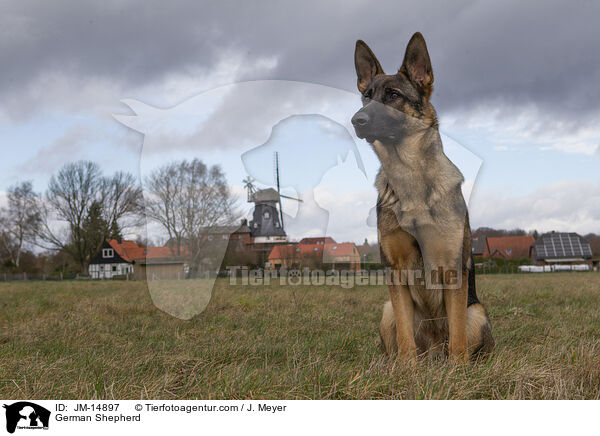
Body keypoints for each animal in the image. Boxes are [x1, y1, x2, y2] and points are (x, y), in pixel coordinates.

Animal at [350, 33, 494, 362]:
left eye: (393, 95)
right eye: (366, 97)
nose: (356, 120)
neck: (410, 176)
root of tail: (434, 351)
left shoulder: (452, 269)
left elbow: (458, 338)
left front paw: (458, 370)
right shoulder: (396, 271)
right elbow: (405, 339)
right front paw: (407, 370)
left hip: (477, 311)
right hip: (387, 310)